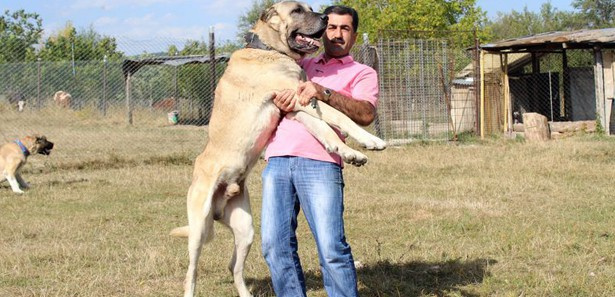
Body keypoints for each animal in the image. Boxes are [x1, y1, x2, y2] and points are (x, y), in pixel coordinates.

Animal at [171, 1, 384, 294]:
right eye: (297, 10)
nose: (325, 18)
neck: (269, 49)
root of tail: (217, 209)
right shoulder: (297, 98)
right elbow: (337, 119)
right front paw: (365, 145)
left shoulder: (296, 105)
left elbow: (327, 127)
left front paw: (352, 149)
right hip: (199, 228)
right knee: (191, 272)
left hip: (246, 229)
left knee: (234, 267)